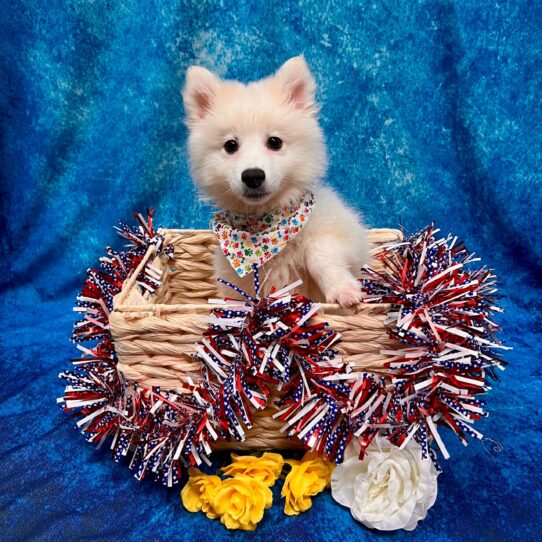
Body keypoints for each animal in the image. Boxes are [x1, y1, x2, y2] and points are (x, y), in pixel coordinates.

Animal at [182, 58, 370, 310]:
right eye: (230, 145)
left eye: (274, 142)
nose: (252, 176)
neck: (265, 224)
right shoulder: (236, 280)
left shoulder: (347, 234)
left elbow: (320, 252)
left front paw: (343, 290)